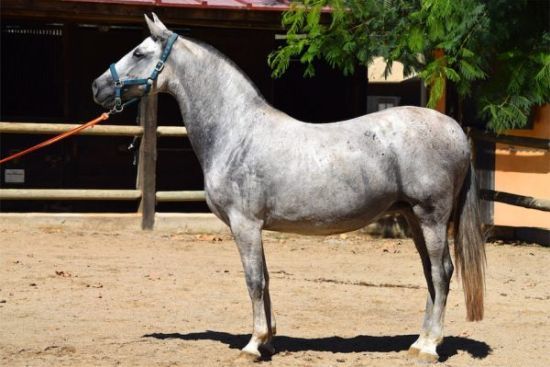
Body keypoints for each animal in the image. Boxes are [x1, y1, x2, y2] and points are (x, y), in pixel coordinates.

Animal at [94, 14, 488, 366]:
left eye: (139, 53)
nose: (97, 87)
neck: (238, 132)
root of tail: (454, 128)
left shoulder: (245, 225)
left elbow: (254, 280)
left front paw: (253, 345)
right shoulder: (255, 228)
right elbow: (266, 279)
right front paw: (267, 341)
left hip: (431, 217)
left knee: (441, 272)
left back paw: (430, 347)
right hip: (413, 218)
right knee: (431, 274)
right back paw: (418, 342)